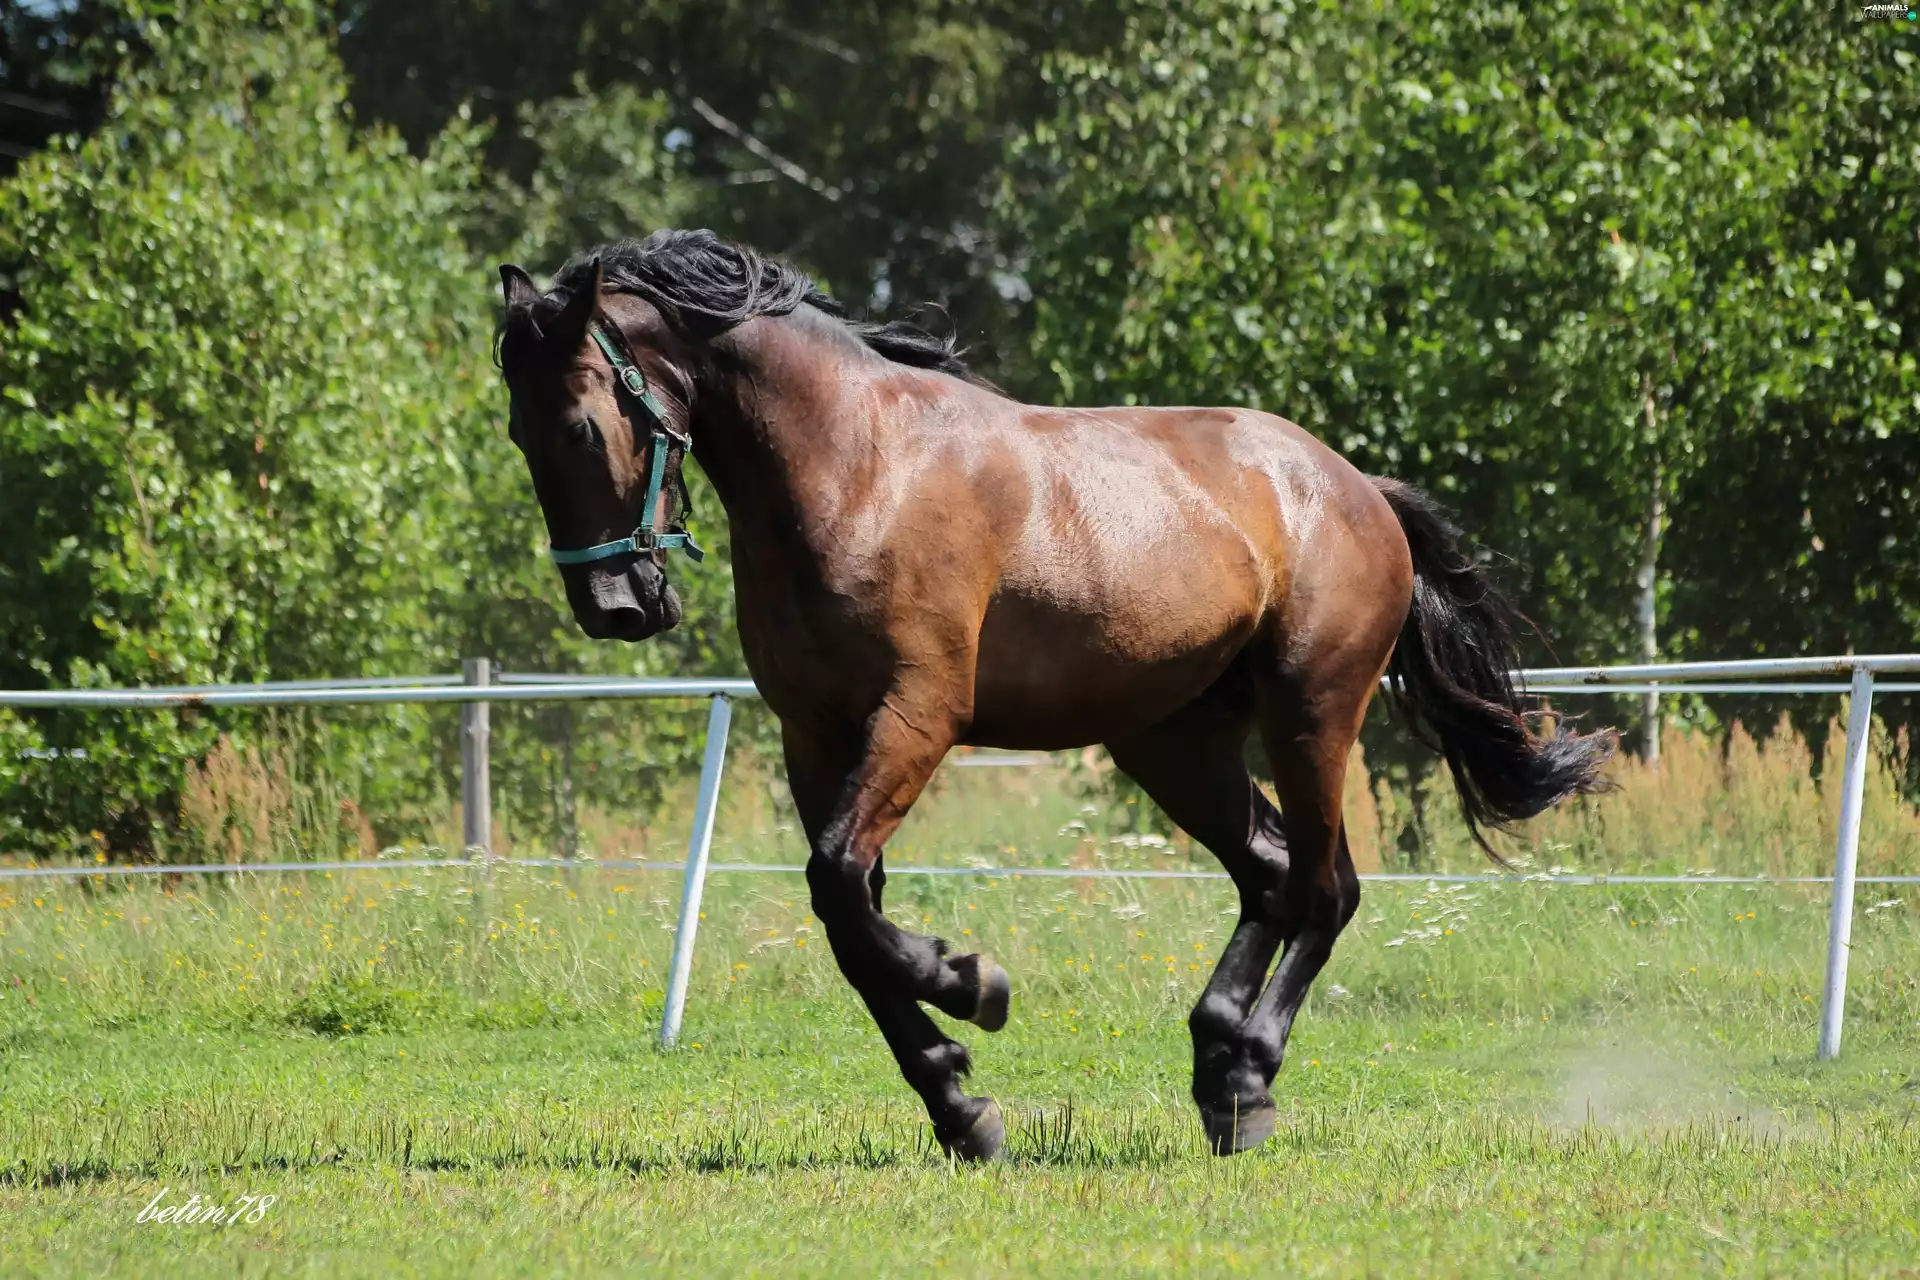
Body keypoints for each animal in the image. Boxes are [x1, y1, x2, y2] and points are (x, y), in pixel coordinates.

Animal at [495, 228, 1615, 1161]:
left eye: (583, 426)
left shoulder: (917, 718)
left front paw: (970, 986)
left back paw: (1247, 1076)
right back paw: (1220, 1073)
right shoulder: (816, 738)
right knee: (1269, 874)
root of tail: (1355, 487)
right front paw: (961, 1099)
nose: (614, 606)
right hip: (1173, 743)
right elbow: (850, 919)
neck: (857, 469)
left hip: (1312, 713)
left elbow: (842, 889)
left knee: (1320, 889)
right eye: (518, 435)